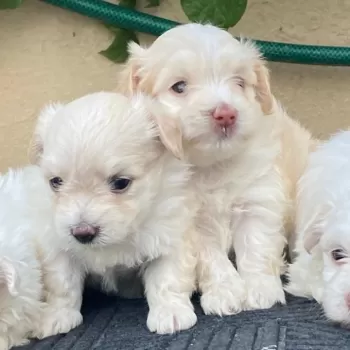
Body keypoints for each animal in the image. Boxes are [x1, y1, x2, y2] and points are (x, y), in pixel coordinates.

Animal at [30, 91, 198, 334]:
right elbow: (63, 284)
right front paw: (57, 316)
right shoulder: (58, 244)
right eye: (56, 182)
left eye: (120, 182)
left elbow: (167, 277)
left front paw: (170, 313)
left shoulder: (170, 235)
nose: (82, 233)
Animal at [119, 23, 316, 314]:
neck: (212, 164)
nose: (226, 114)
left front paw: (260, 289)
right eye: (179, 86)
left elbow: (256, 245)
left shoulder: (258, 198)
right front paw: (225, 293)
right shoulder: (190, 222)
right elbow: (210, 258)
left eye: (239, 83)